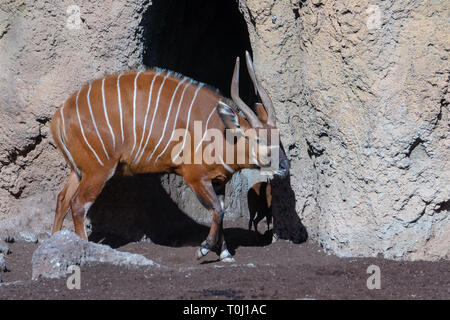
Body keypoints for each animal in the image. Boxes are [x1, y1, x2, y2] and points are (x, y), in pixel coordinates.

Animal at [49, 52, 288, 262]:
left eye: (278, 136)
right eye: (258, 139)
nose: (285, 166)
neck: (222, 133)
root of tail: (59, 115)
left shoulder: (219, 182)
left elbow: (220, 212)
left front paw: (225, 254)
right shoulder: (195, 178)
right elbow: (218, 211)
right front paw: (203, 249)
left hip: (79, 170)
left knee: (62, 199)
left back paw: (55, 242)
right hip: (98, 170)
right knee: (78, 203)